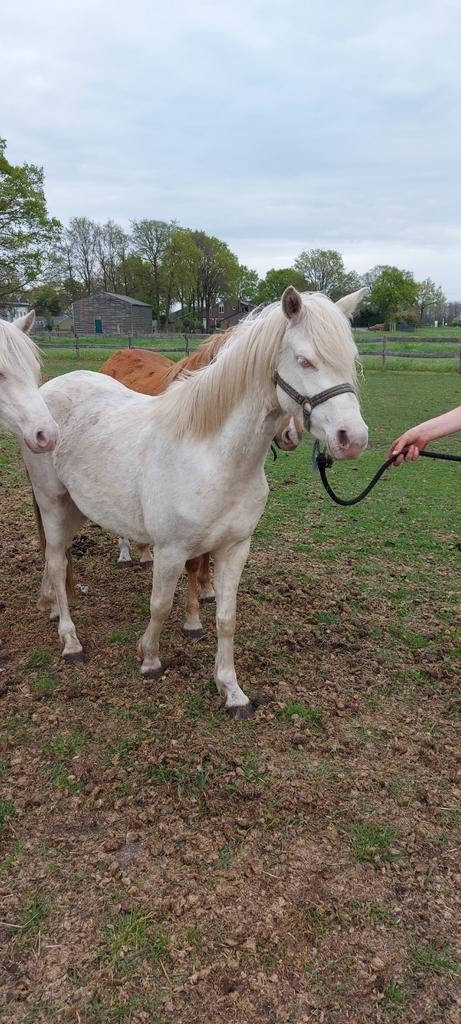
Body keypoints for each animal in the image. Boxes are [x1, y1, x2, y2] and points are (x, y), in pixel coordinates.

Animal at [99, 331, 303, 636]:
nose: (292, 435)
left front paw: (208, 590)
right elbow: (193, 562)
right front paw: (192, 617)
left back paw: (145, 553)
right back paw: (125, 554)